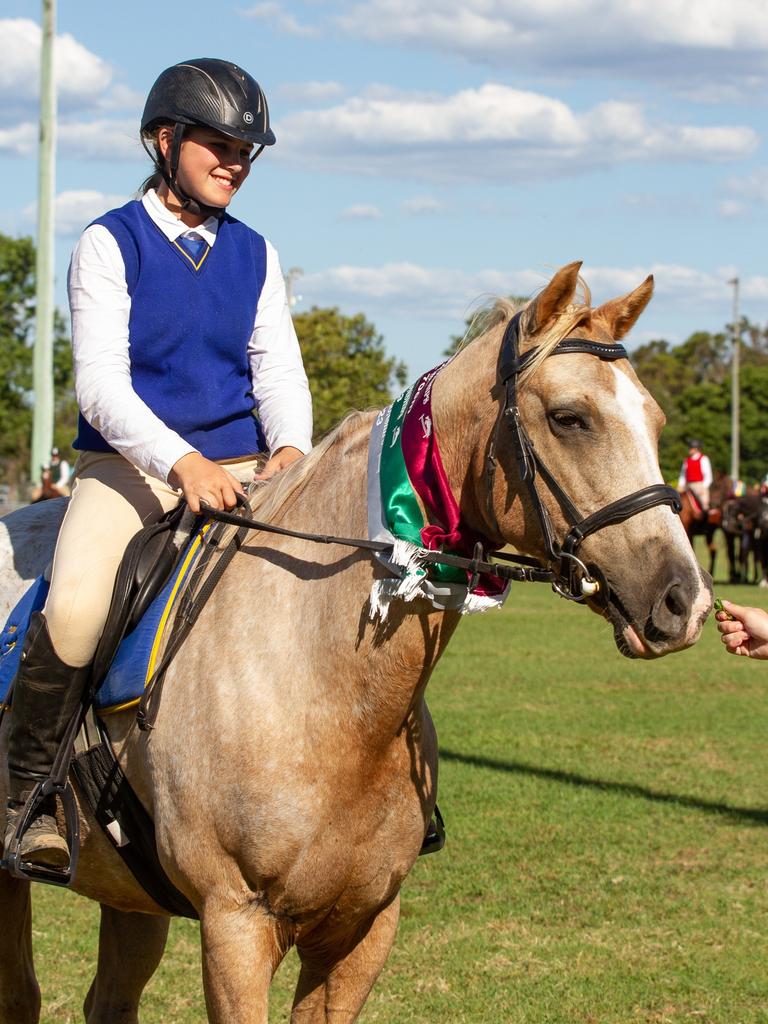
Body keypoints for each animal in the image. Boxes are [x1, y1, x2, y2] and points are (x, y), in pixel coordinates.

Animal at [0, 264, 716, 1024]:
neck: (330, 696)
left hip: (132, 896)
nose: (685, 601)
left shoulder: (363, 926)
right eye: (569, 418)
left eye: (656, 421)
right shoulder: (236, 925)